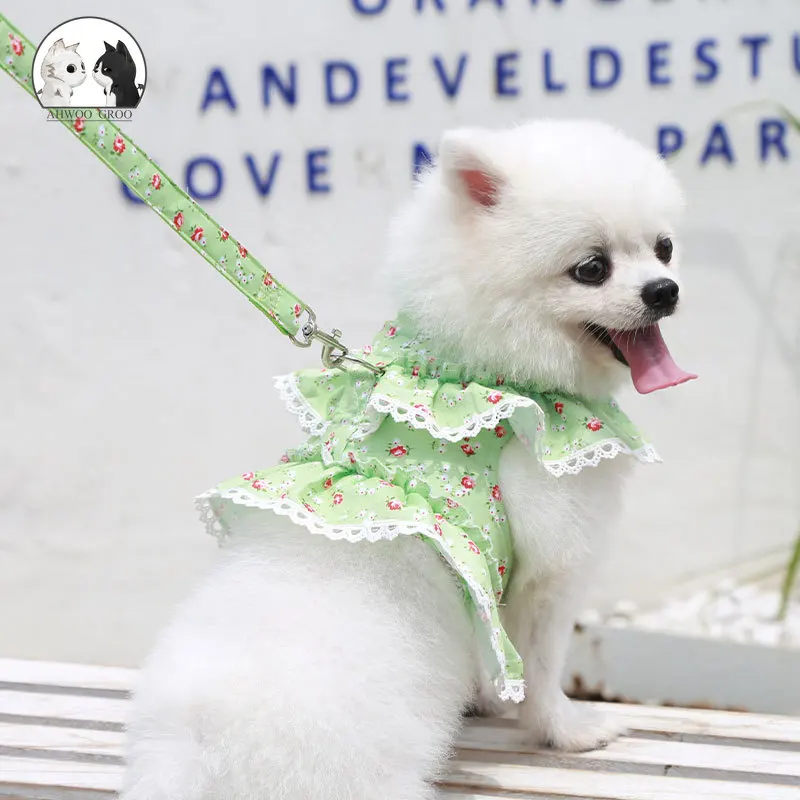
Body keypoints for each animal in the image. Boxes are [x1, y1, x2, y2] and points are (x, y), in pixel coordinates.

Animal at [122, 119, 693, 800]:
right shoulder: (552, 566)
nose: (664, 290)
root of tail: (197, 749)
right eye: (591, 268)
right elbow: (540, 664)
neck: (483, 368)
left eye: (663, 248)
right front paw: (567, 730)